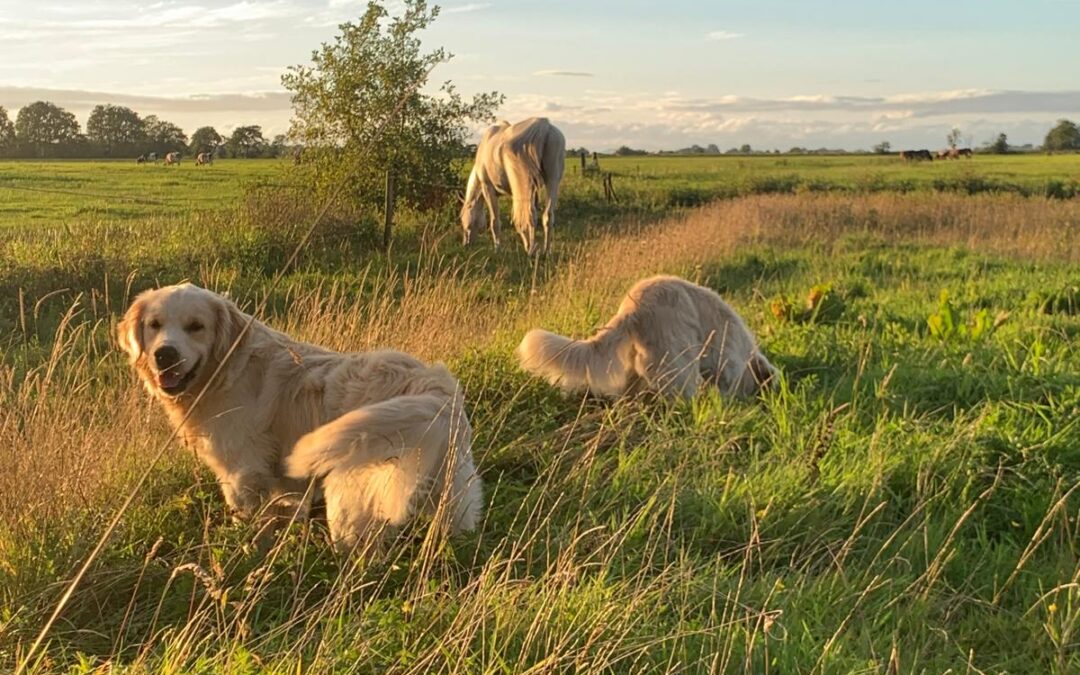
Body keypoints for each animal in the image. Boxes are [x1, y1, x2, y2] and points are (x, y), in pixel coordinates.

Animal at [462, 115, 570, 254]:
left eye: (462, 220)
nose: (466, 244)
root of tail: (544, 127)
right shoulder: (526, 191)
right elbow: (518, 220)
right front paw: (527, 244)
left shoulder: (488, 188)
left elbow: (495, 221)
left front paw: (498, 248)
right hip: (552, 180)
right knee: (547, 215)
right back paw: (546, 251)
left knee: (530, 215)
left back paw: (531, 251)